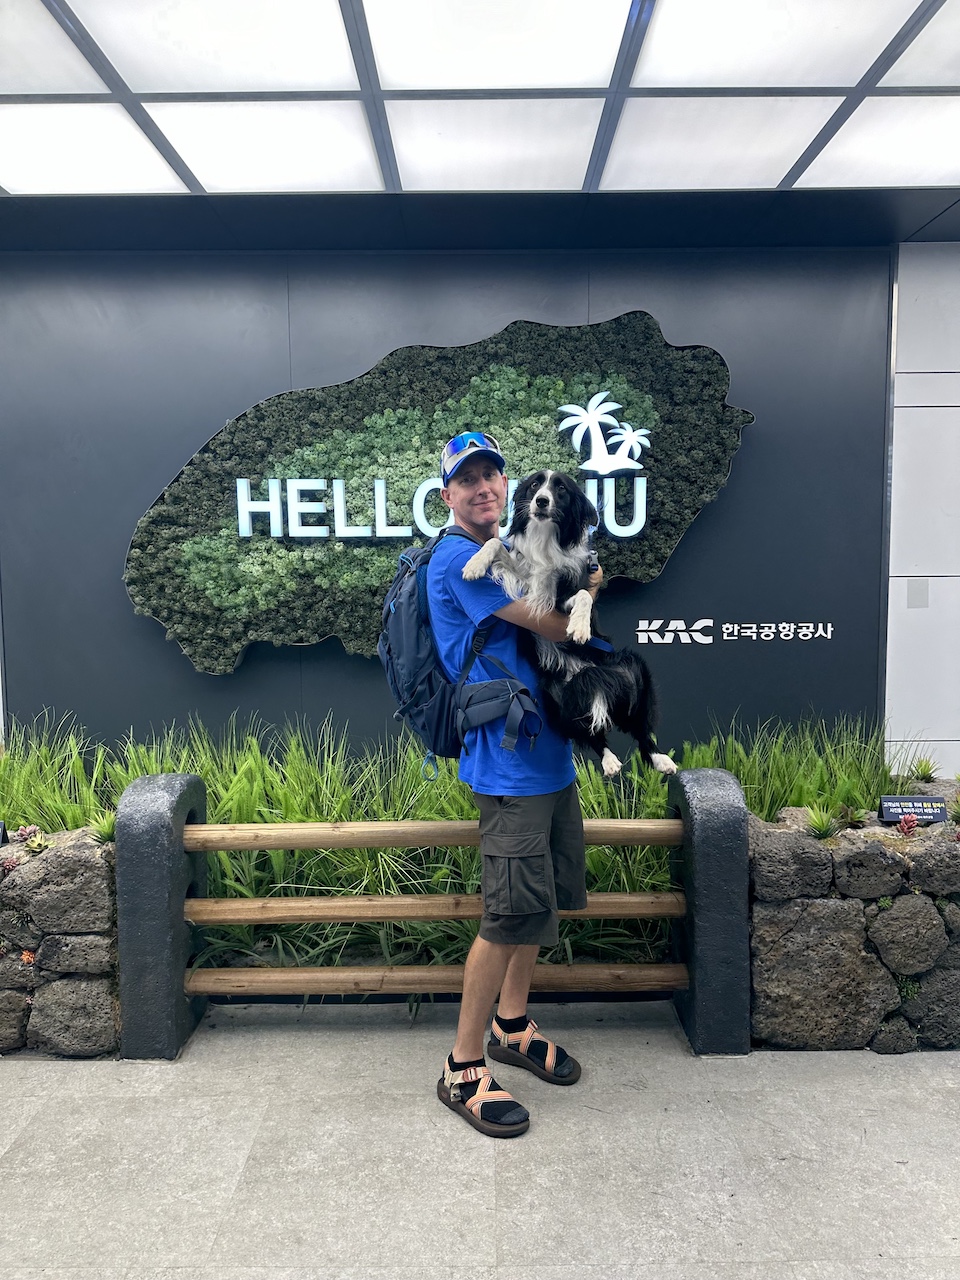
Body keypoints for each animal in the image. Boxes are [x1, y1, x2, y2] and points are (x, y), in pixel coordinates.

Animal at [463, 471, 675, 778]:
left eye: (561, 489)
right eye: (535, 485)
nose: (541, 501)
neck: (544, 537)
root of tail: (585, 672)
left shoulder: (561, 596)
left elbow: (585, 594)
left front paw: (581, 627)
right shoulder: (528, 586)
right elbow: (495, 544)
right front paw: (474, 564)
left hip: (633, 671)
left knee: (640, 726)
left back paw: (660, 759)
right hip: (553, 696)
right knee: (586, 731)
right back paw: (609, 761)